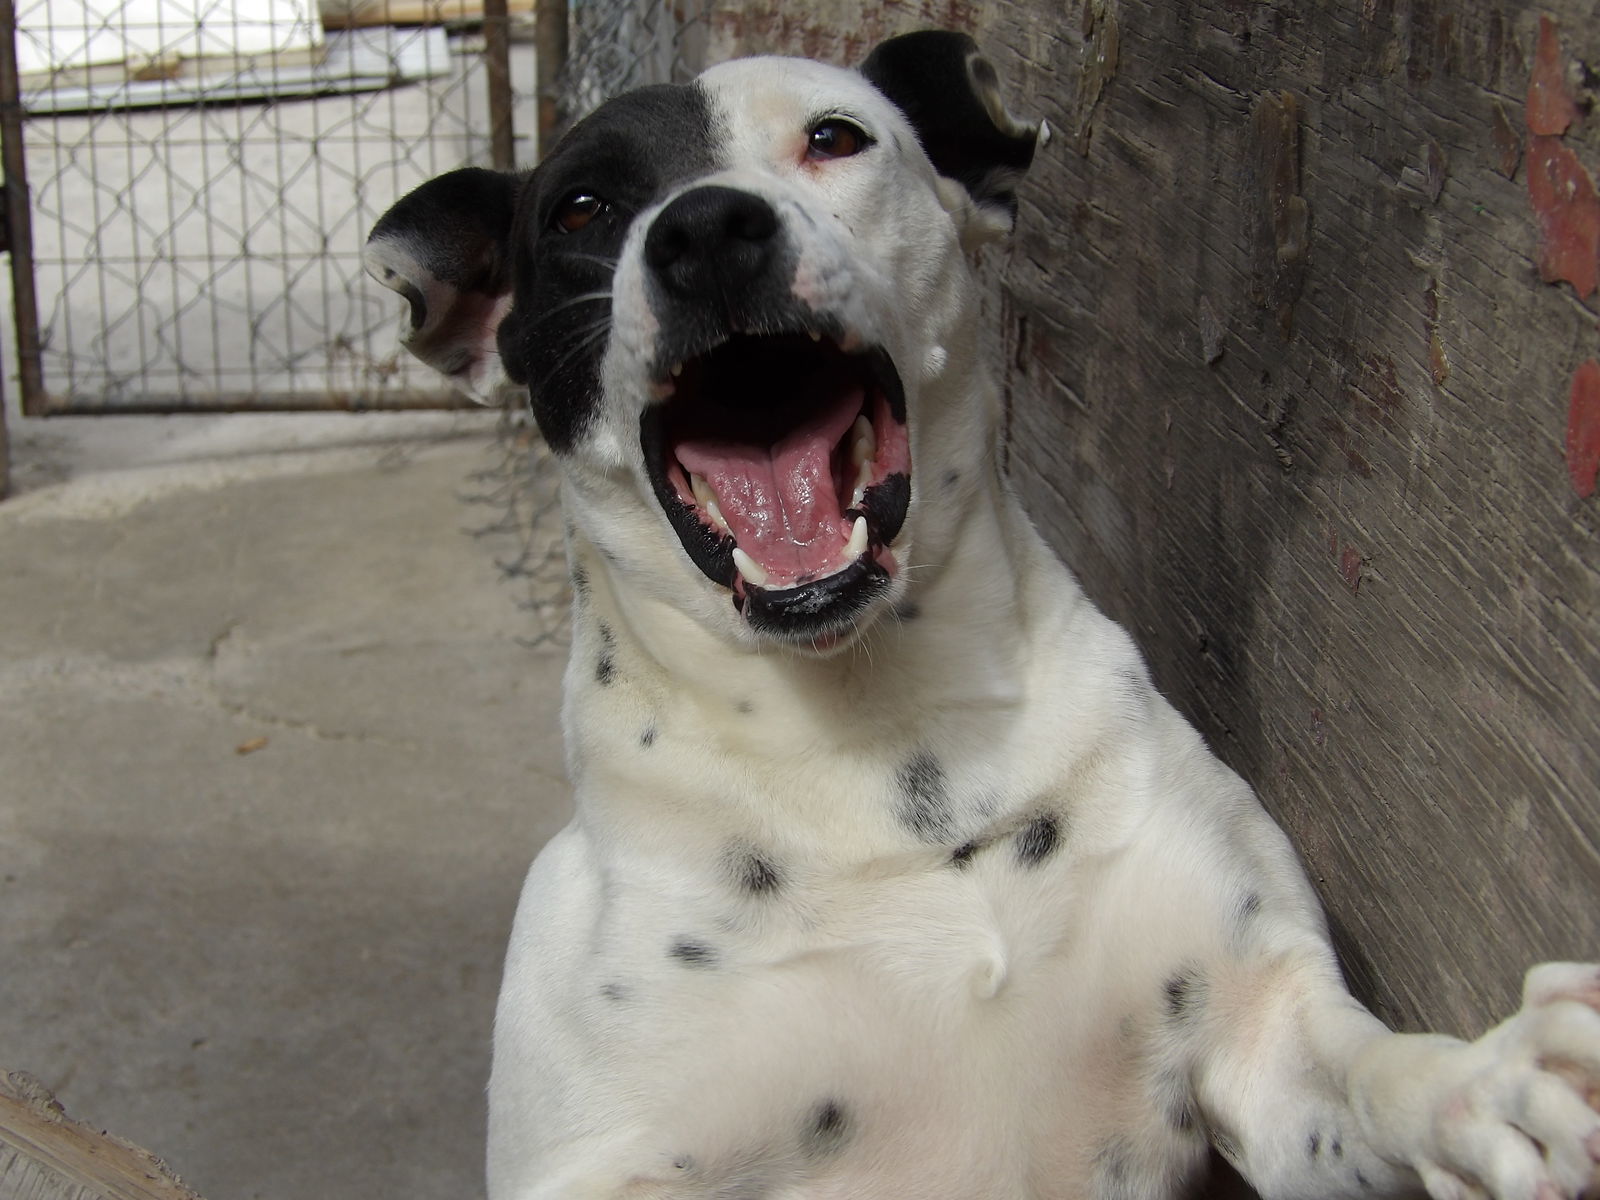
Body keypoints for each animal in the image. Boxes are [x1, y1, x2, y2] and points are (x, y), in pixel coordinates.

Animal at [368, 30, 1600, 1200]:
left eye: (835, 137)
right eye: (582, 208)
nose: (707, 230)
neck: (887, 755)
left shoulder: (1261, 1026)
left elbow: (1370, 1071)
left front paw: (1486, 1086)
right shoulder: (601, 1158)